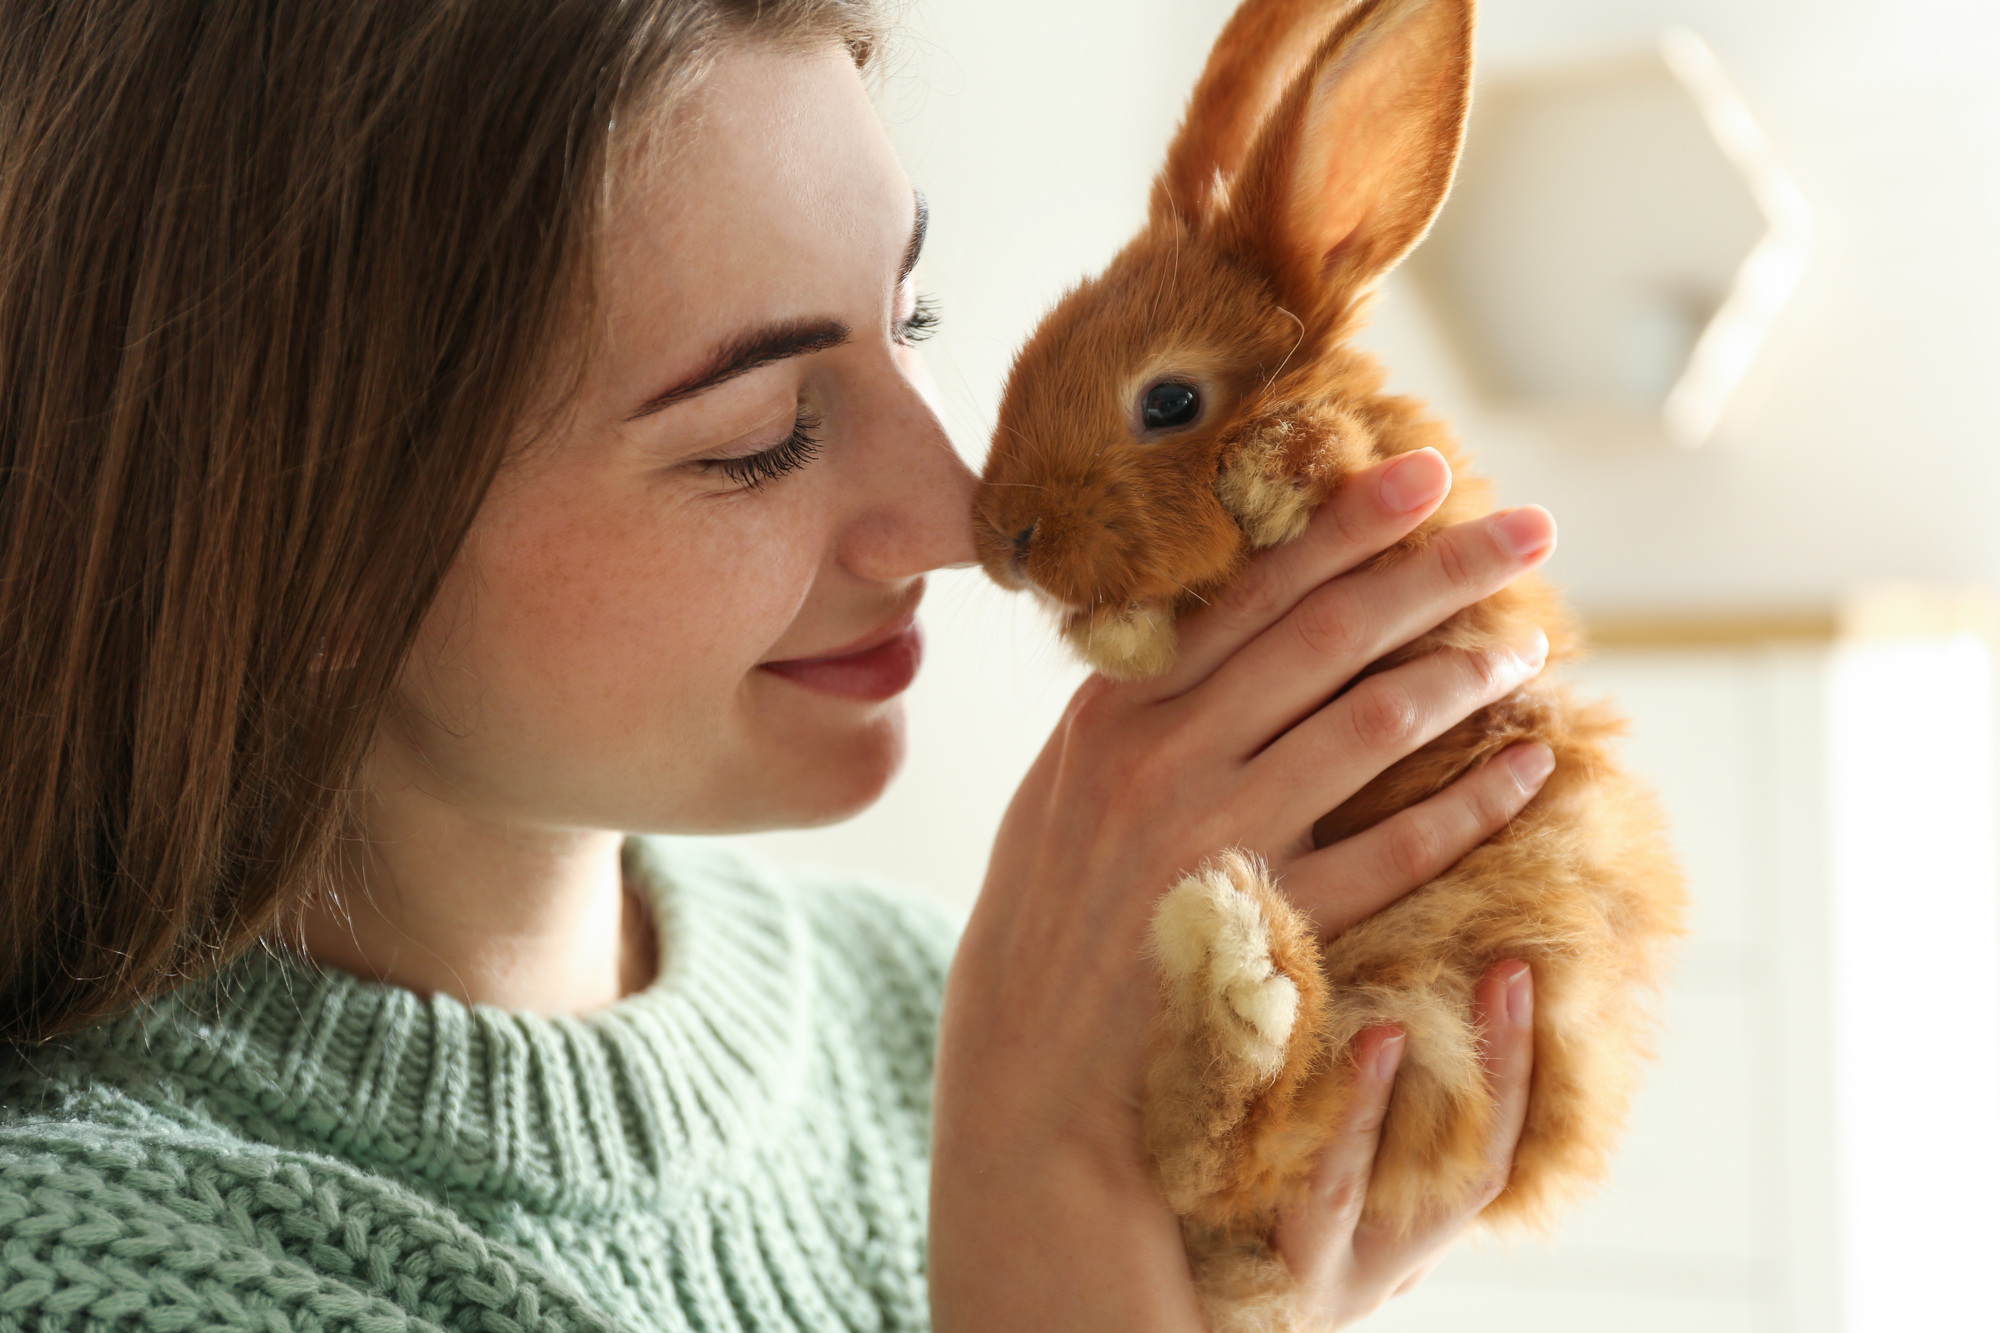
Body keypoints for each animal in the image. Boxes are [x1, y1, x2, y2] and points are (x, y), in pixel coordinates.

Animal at [968, 0, 1688, 1320]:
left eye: (1168, 401)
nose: (1004, 541)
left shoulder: (1418, 524)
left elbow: (1321, 458)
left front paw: (1264, 472)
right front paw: (1122, 627)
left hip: (1432, 1018)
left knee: (1239, 1133)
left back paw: (1239, 964)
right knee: (1210, 1144)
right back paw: (1239, 962)